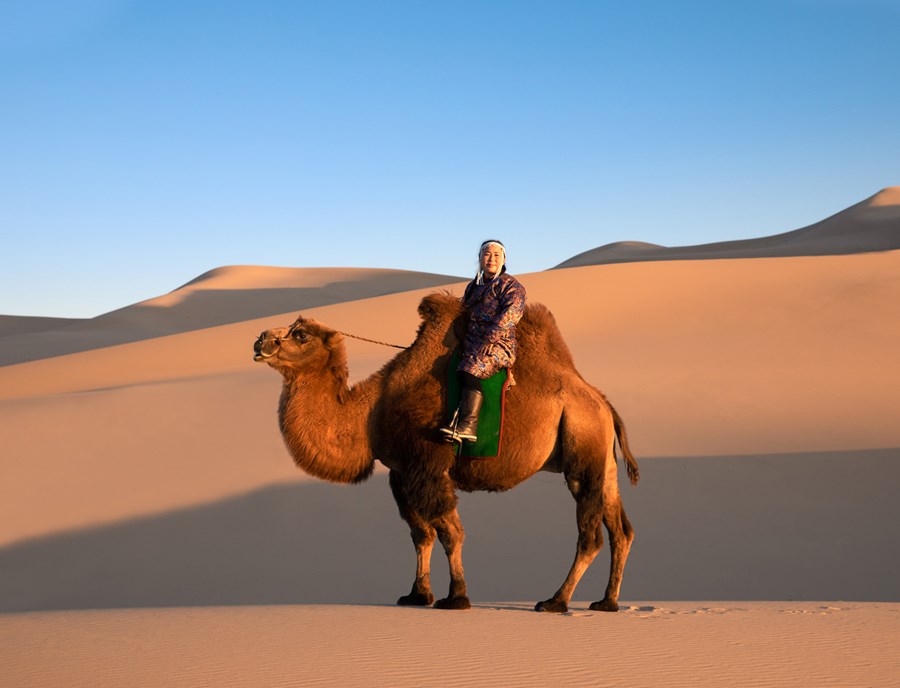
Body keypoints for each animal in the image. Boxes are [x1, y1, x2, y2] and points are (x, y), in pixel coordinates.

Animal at [253, 292, 639, 613]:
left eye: (300, 334)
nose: (260, 339)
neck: (372, 412)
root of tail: (602, 402)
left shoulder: (428, 466)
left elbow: (450, 533)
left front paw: (456, 597)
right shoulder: (401, 473)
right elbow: (420, 534)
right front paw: (417, 594)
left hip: (582, 448)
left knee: (590, 535)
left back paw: (555, 601)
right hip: (603, 462)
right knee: (621, 530)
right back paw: (607, 602)